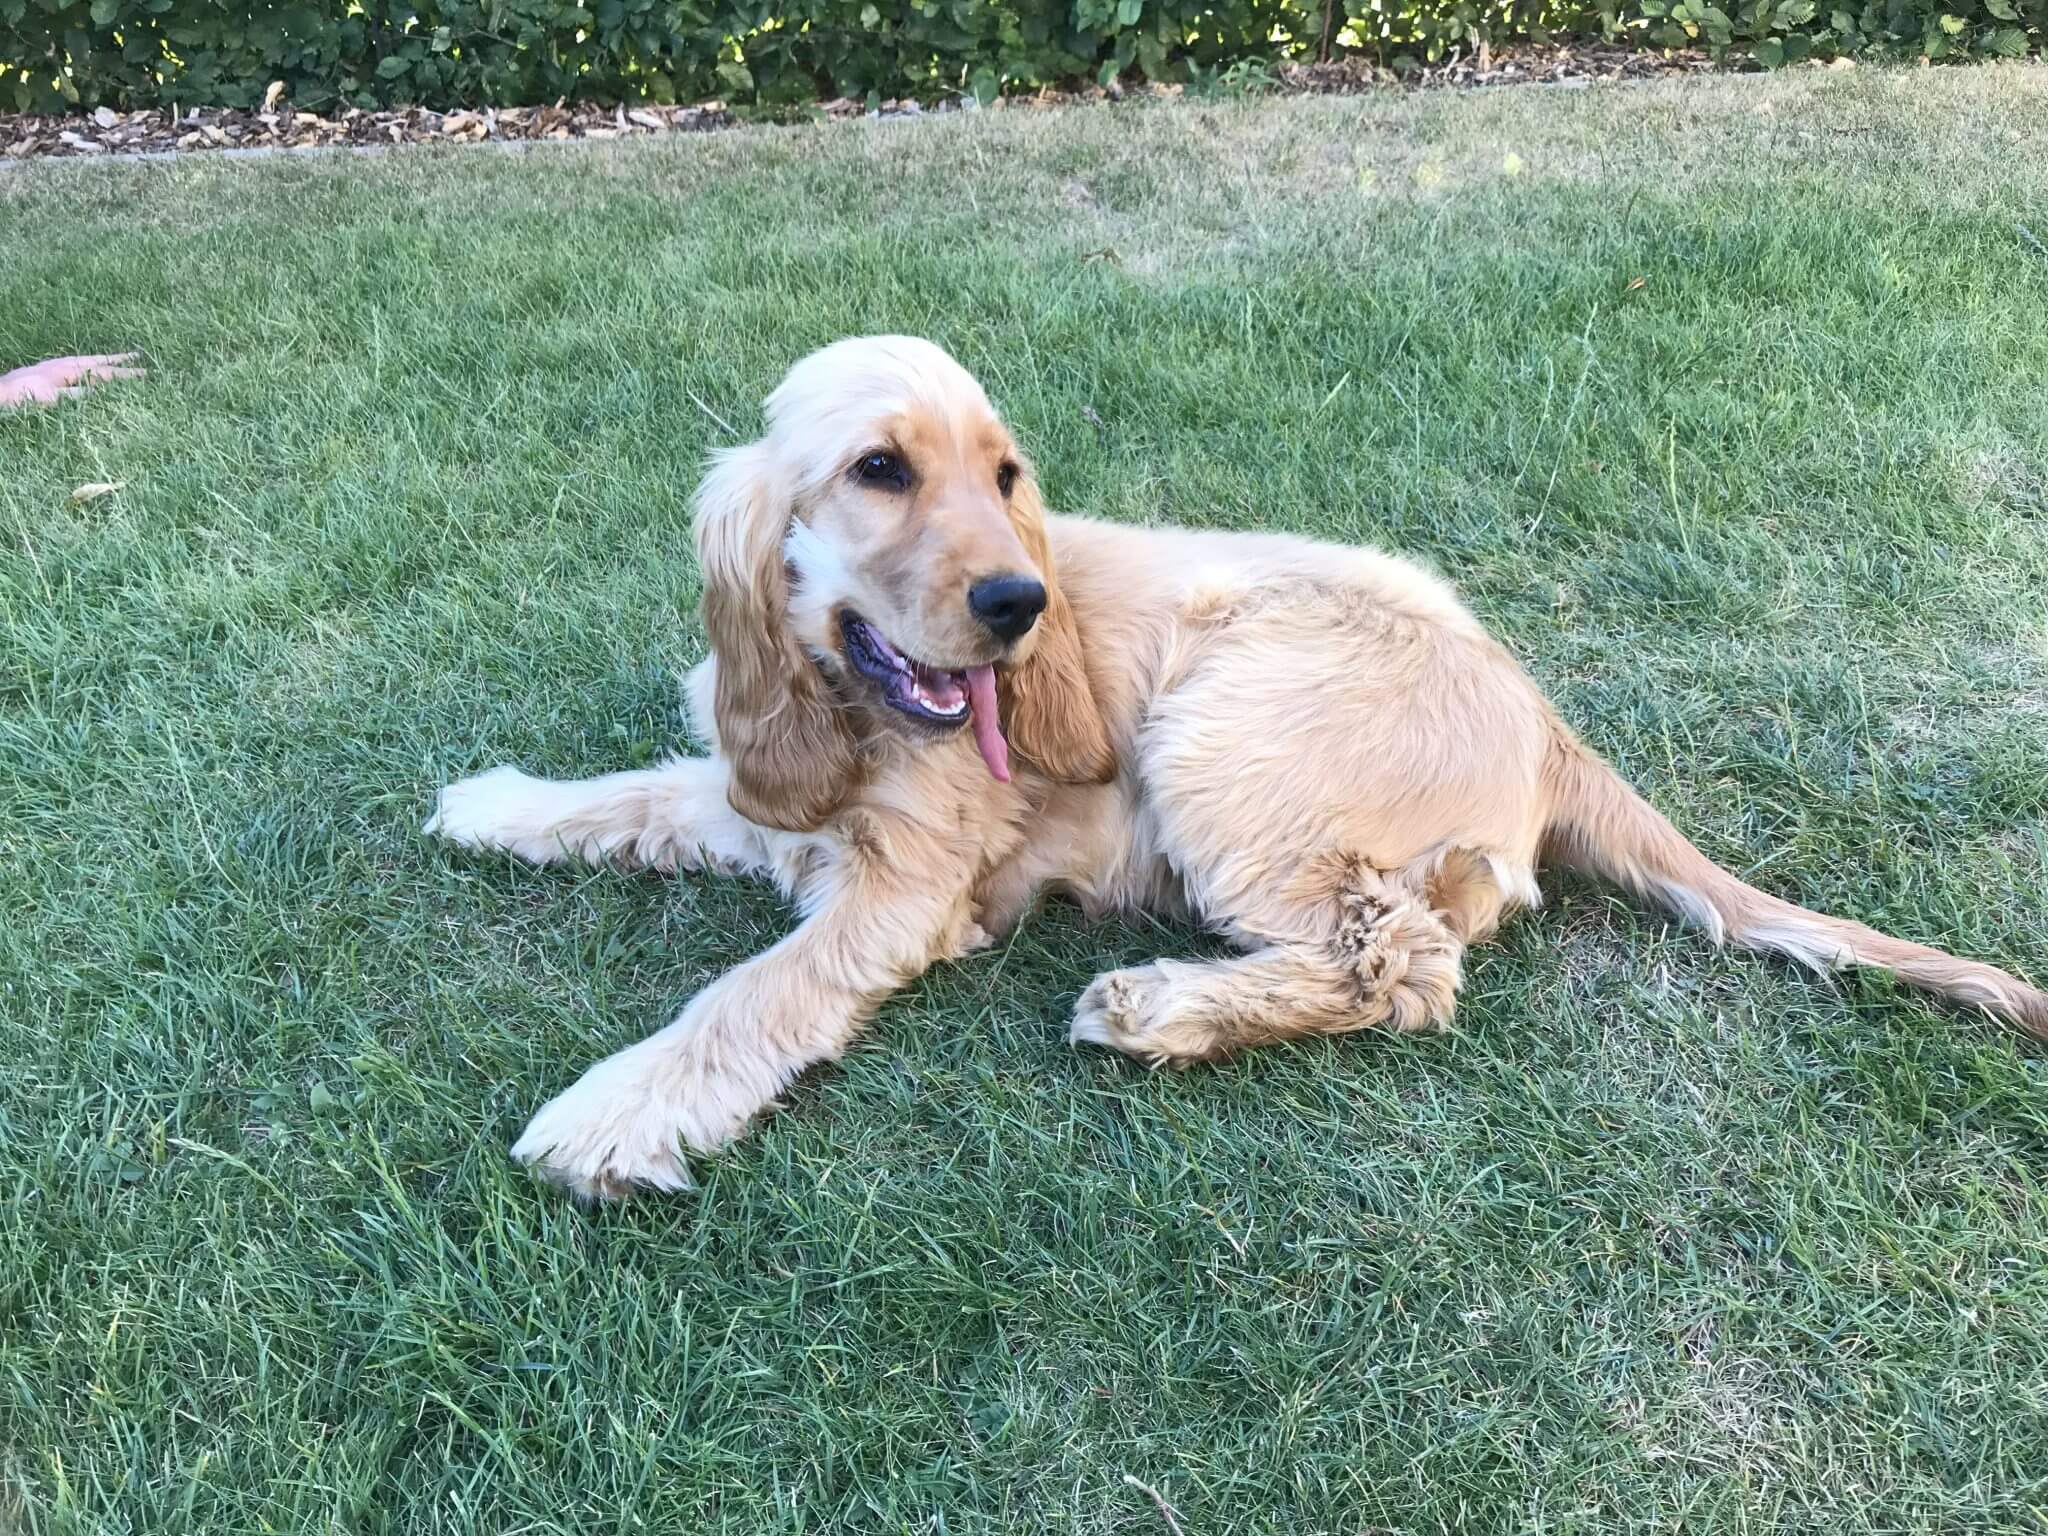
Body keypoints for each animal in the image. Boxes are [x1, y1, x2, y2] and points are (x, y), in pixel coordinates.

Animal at [426, 335, 2048, 1200]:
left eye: (1005, 476)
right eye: (879, 470)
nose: (1018, 605)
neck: (859, 706)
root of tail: (1540, 714)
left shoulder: (909, 892)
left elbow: (748, 996)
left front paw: (616, 1110)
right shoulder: (773, 791)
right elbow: (640, 794)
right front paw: (499, 802)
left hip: (1217, 730)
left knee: (1405, 963)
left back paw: (1161, 1009)